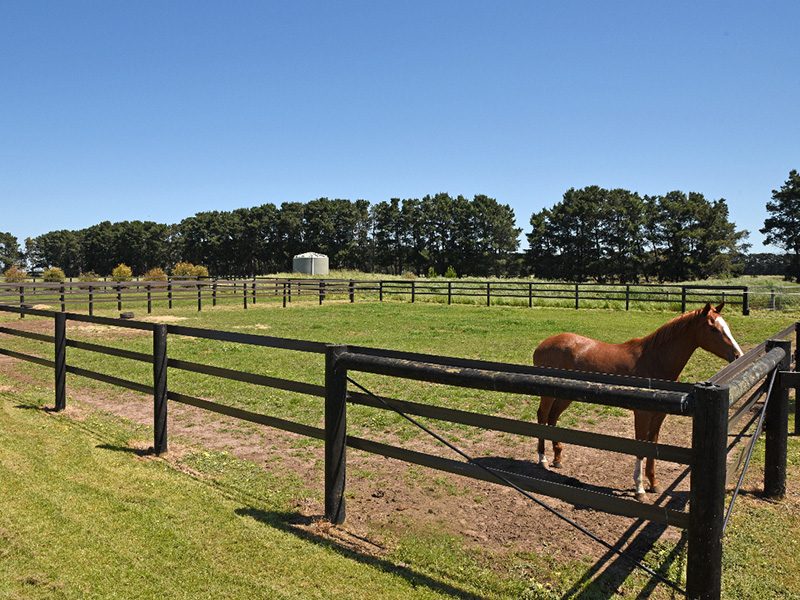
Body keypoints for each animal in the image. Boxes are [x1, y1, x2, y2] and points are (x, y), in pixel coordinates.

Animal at [532, 302, 744, 500]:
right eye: (713, 328)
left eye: (727, 326)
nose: (737, 356)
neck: (655, 360)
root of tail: (542, 344)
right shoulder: (642, 413)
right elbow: (641, 447)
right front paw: (640, 489)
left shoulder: (659, 415)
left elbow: (652, 445)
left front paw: (654, 484)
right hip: (548, 395)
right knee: (542, 416)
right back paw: (543, 459)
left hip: (564, 396)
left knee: (552, 418)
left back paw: (558, 459)